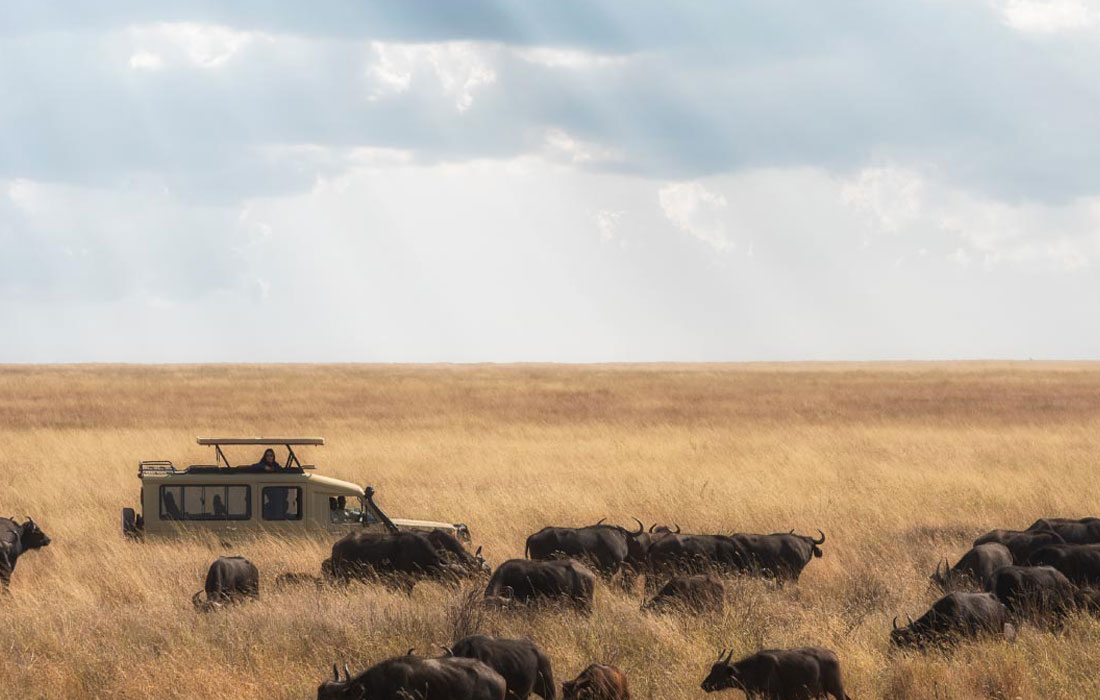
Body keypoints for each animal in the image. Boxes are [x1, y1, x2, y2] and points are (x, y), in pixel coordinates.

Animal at [695, 647, 849, 700]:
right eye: (712, 670)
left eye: (719, 672)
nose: (704, 685)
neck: (755, 669)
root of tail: (832, 654)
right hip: (821, 693)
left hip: (836, 689)